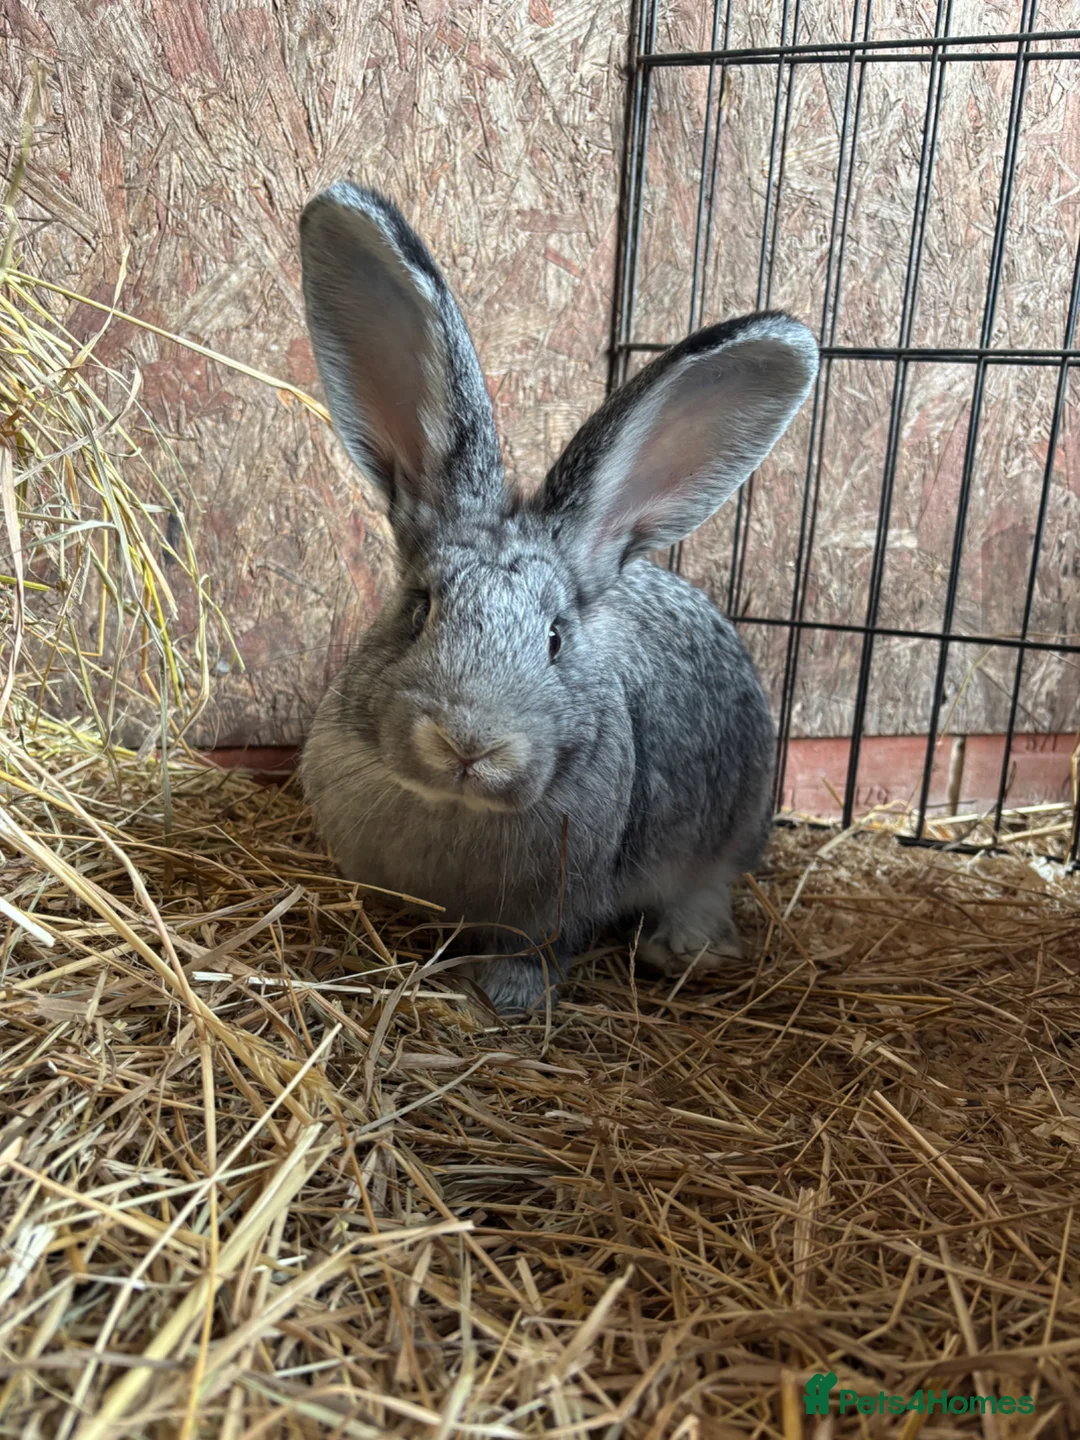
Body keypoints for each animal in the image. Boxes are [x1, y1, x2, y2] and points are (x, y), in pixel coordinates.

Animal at [298, 181, 819, 1015]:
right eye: (420, 608)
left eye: (555, 639)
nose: (469, 744)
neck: (457, 812)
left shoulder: (558, 910)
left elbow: (539, 950)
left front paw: (506, 998)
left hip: (736, 819)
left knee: (710, 881)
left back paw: (686, 947)